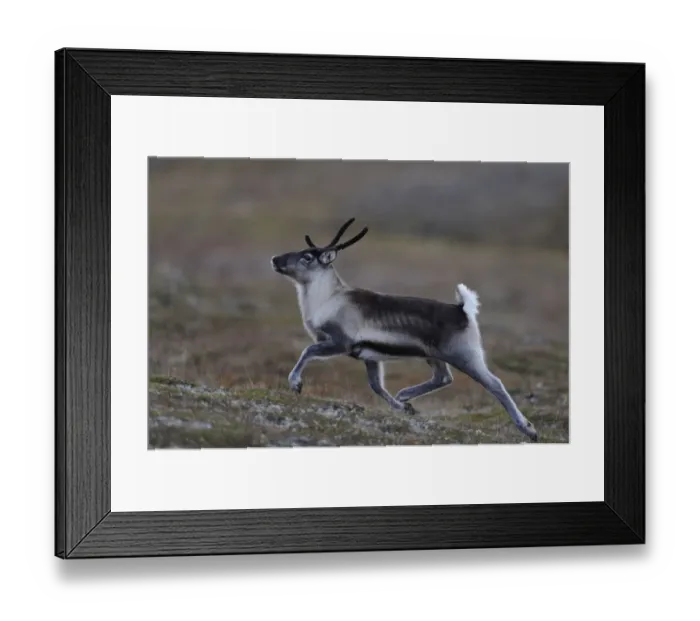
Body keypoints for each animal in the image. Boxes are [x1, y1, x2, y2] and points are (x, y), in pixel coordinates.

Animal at [270, 218, 538, 442]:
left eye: (307, 257)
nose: (275, 259)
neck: (327, 299)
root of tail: (463, 310)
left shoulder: (340, 342)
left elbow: (307, 351)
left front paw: (295, 384)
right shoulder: (368, 357)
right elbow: (377, 387)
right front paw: (403, 407)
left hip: (465, 355)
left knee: (495, 384)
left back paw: (528, 429)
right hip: (435, 356)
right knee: (443, 378)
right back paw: (405, 395)